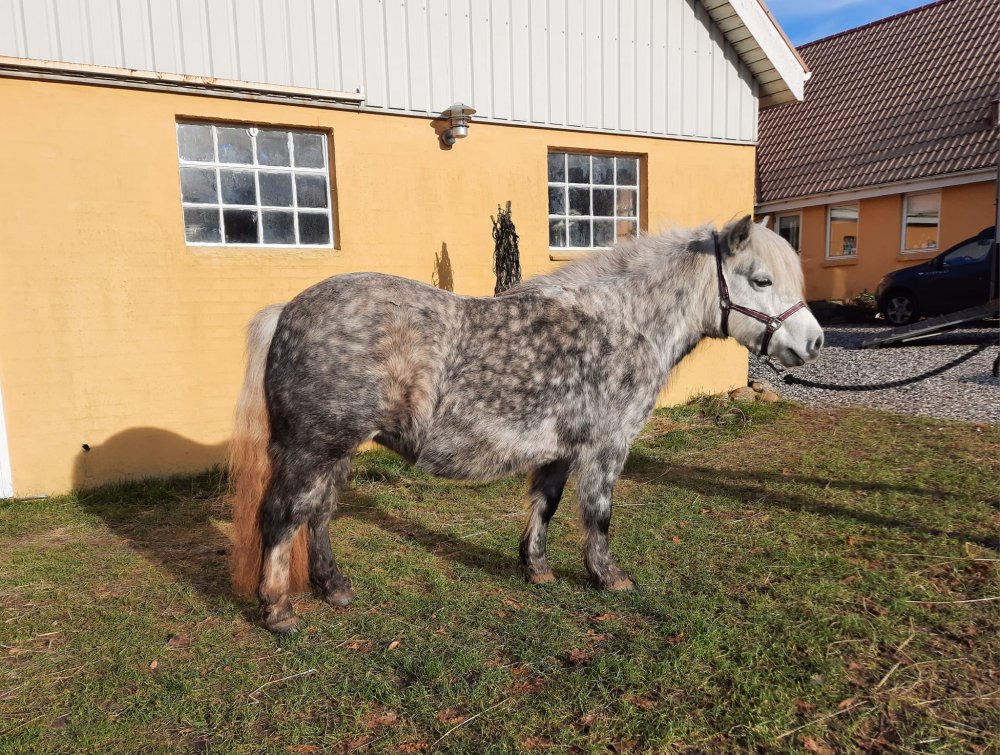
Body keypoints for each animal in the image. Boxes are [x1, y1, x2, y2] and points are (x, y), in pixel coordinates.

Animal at [229, 215, 823, 633]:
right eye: (761, 280)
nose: (814, 342)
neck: (623, 325)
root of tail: (287, 311)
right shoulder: (606, 446)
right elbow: (598, 515)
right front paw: (609, 578)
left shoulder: (559, 449)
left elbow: (547, 504)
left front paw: (536, 569)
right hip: (313, 448)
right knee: (283, 516)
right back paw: (279, 610)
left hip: (337, 451)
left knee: (318, 515)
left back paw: (335, 587)